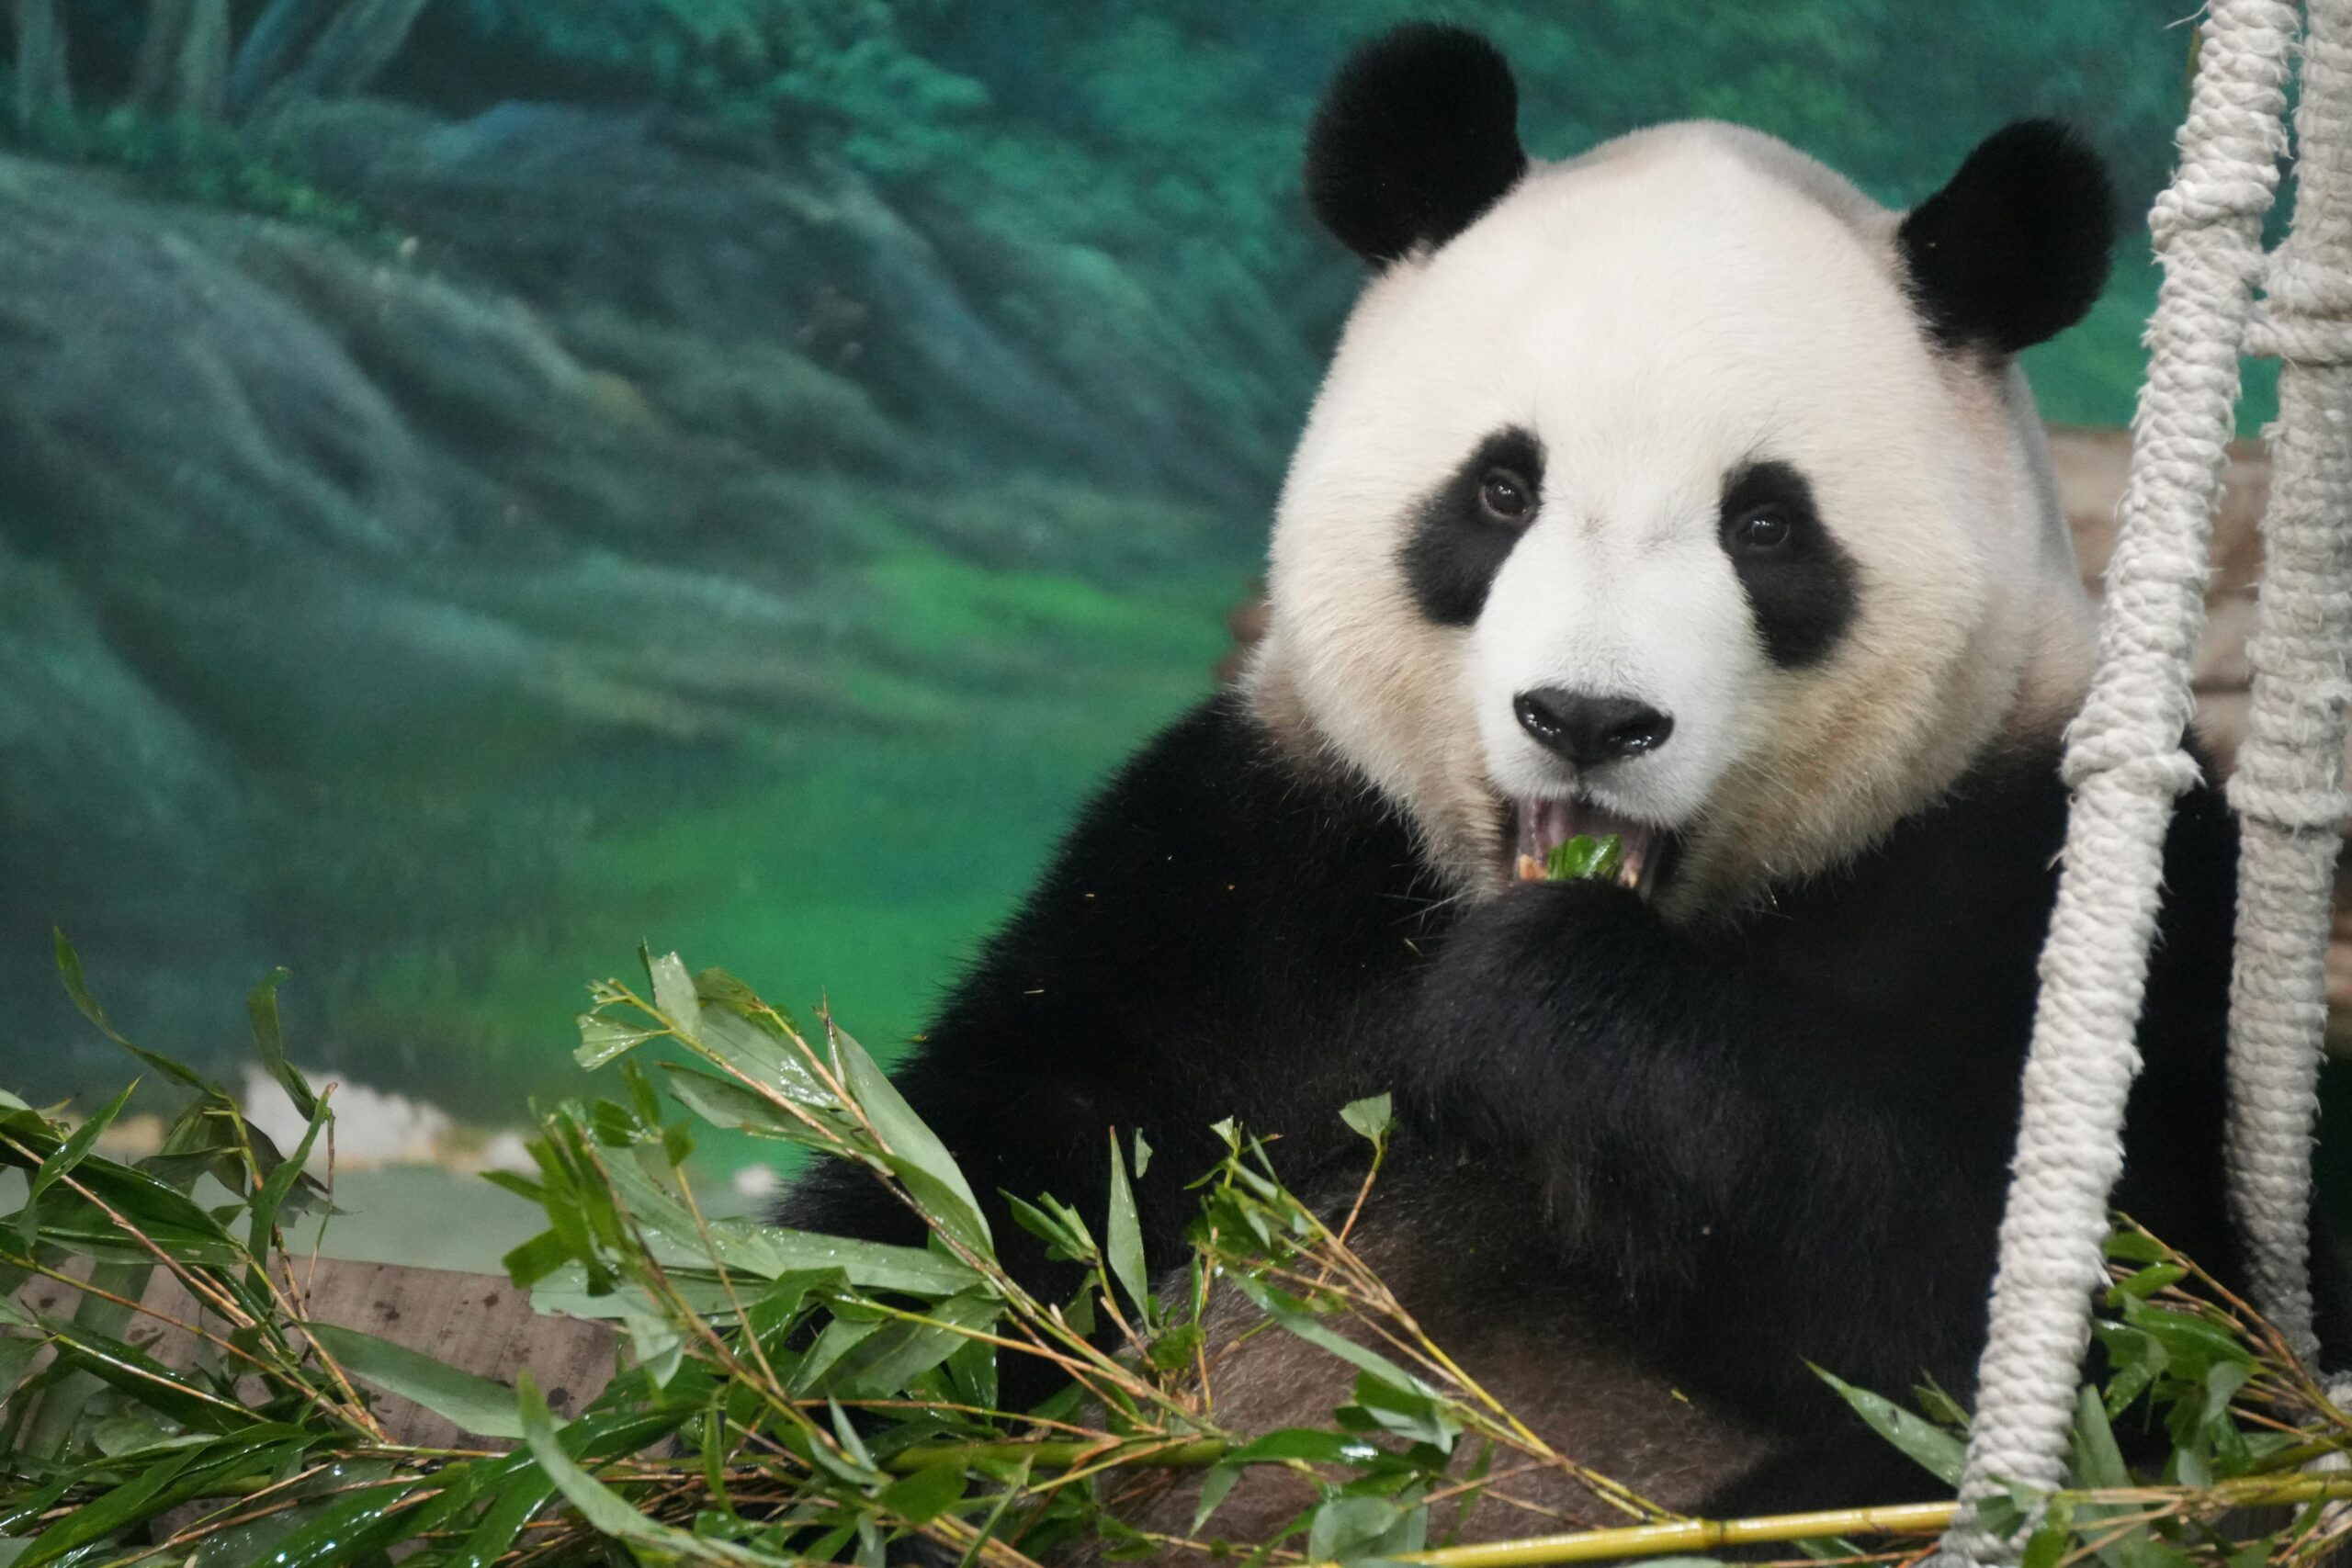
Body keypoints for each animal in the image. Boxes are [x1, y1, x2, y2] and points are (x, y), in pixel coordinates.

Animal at [784, 22, 2342, 1534]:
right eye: (1500, 490)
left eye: (1766, 525)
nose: (1589, 715)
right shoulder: (1245, 873)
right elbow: (964, 1202)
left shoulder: (2046, 879)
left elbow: (2133, 1302)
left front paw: (1549, 1006)